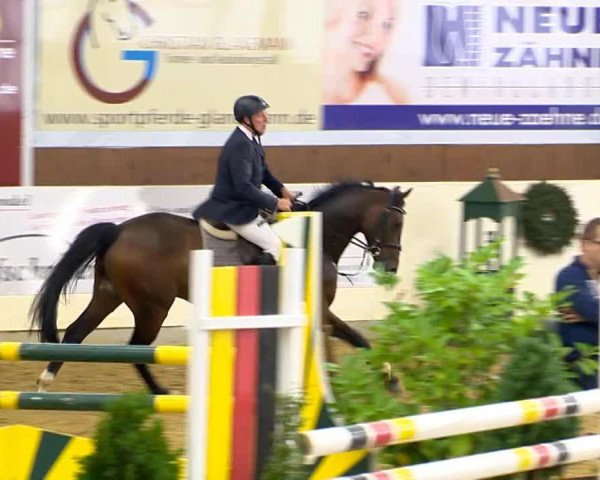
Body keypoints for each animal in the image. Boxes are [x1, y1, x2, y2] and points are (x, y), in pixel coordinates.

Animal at [30, 180, 410, 394]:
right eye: (393, 221)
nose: (390, 268)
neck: (315, 238)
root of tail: (119, 230)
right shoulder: (317, 310)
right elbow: (355, 340)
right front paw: (386, 378)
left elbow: (354, 341)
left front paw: (387, 378)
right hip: (153, 307)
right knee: (135, 347)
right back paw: (161, 391)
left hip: (110, 295)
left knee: (76, 332)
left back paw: (46, 380)